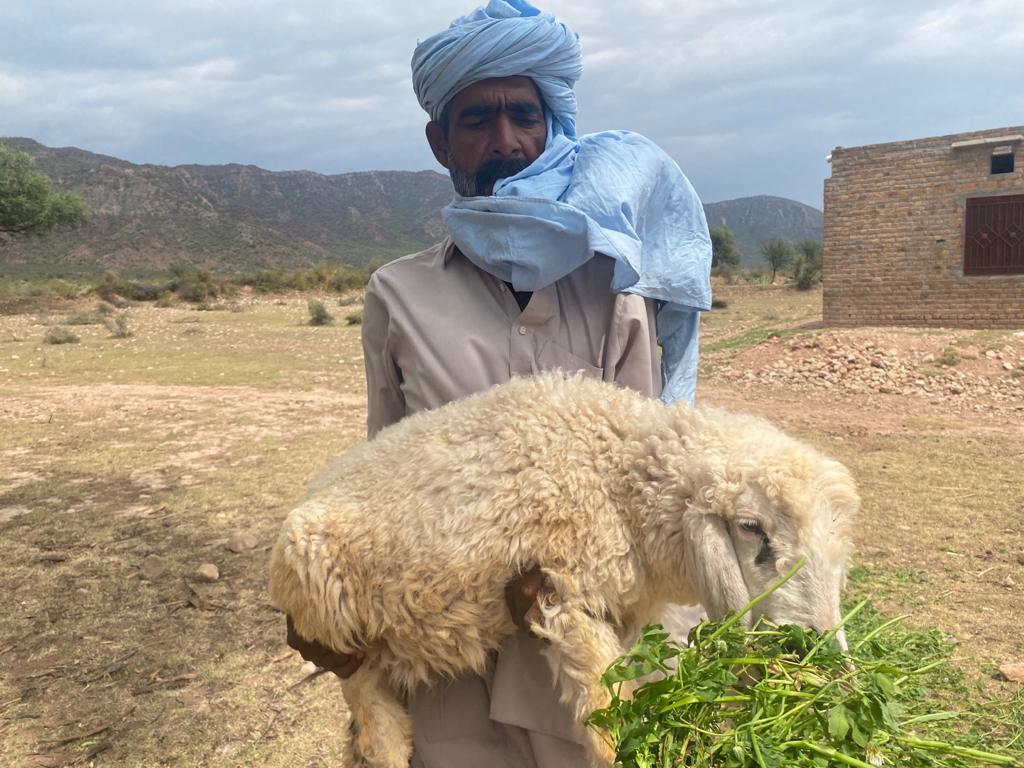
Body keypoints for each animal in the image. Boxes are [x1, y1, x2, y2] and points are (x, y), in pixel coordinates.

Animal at [269, 372, 857, 768]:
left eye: (838, 550)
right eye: (751, 527)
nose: (817, 655)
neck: (617, 475)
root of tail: (321, 481)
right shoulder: (564, 595)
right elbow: (606, 721)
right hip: (338, 622)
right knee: (370, 712)